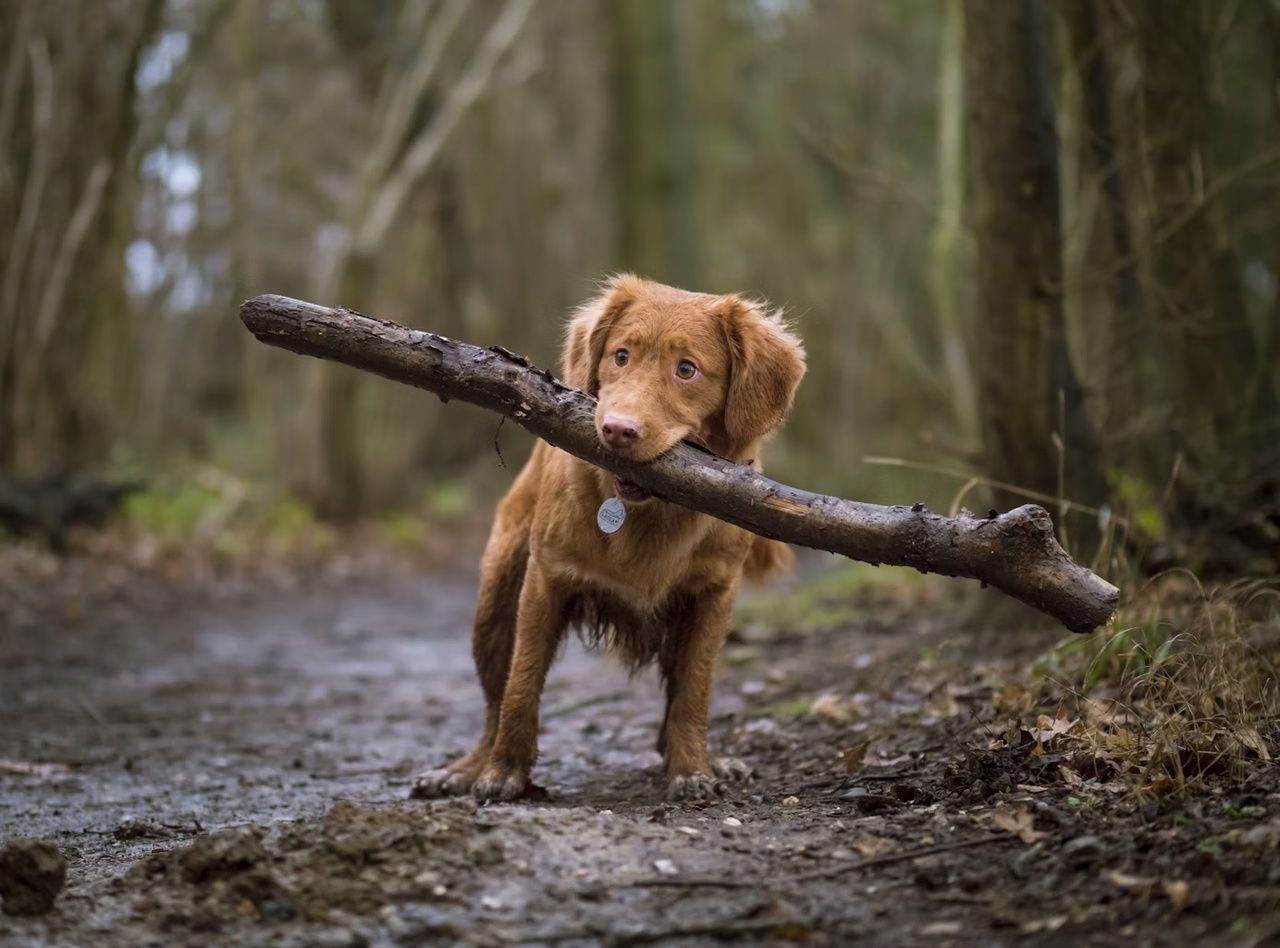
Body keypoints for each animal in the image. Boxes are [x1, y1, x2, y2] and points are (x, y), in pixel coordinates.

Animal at [414, 273, 803, 798]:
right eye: (621, 356)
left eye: (687, 370)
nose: (618, 430)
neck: (650, 513)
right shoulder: (545, 580)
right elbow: (521, 684)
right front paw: (503, 772)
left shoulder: (714, 594)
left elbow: (693, 691)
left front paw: (693, 769)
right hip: (495, 601)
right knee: (495, 699)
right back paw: (467, 768)